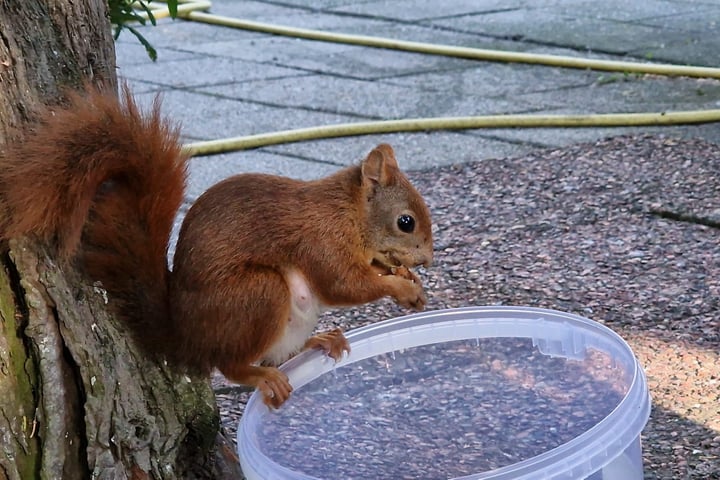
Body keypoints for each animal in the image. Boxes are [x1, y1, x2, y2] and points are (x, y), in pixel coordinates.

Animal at [0, 88, 434, 406]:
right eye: (406, 222)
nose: (428, 259)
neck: (348, 213)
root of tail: (188, 339)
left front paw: (408, 281)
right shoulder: (321, 241)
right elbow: (344, 285)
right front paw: (402, 287)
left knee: (282, 353)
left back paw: (321, 340)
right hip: (257, 295)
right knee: (230, 365)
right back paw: (260, 375)